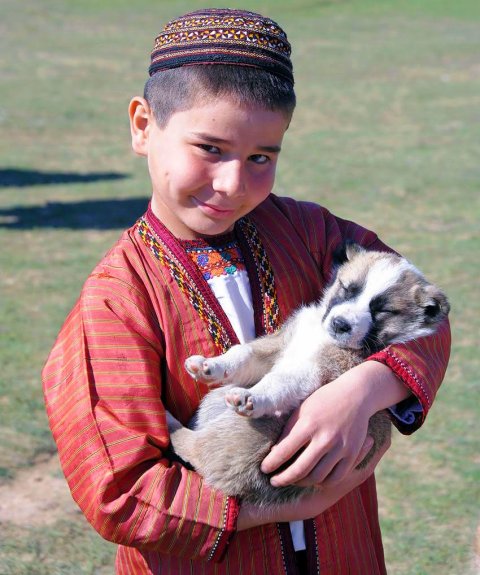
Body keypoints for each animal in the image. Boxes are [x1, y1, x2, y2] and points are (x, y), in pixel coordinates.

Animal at [166, 245, 450, 506]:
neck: (321, 335)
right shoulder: (279, 347)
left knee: (194, 448)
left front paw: (253, 396)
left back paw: (169, 423)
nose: (340, 324)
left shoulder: (316, 370)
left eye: (383, 310)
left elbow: (279, 382)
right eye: (347, 288)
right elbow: (243, 353)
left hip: (241, 433)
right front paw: (209, 366)